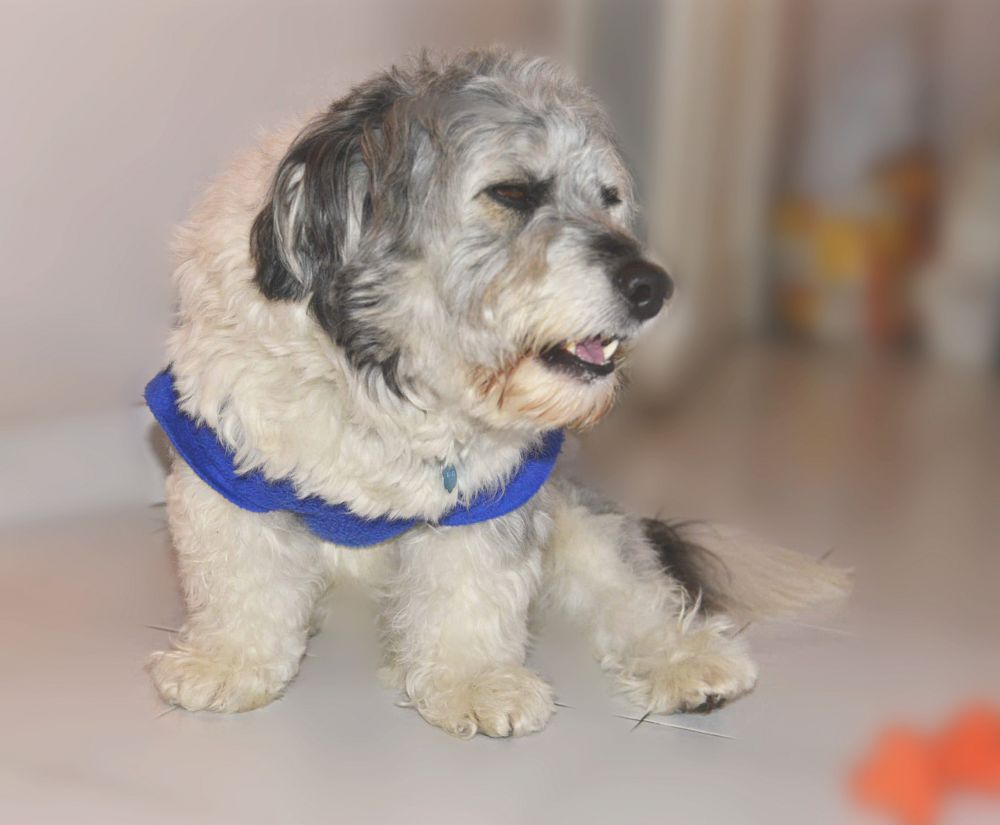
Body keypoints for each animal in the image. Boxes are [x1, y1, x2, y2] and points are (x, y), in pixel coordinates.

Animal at [148, 48, 847, 738]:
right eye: (513, 191)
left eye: (608, 198)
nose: (653, 286)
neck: (380, 381)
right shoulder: (226, 468)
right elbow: (242, 579)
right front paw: (227, 661)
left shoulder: (492, 494)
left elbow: (470, 593)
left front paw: (473, 682)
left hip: (576, 515)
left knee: (635, 590)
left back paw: (684, 659)